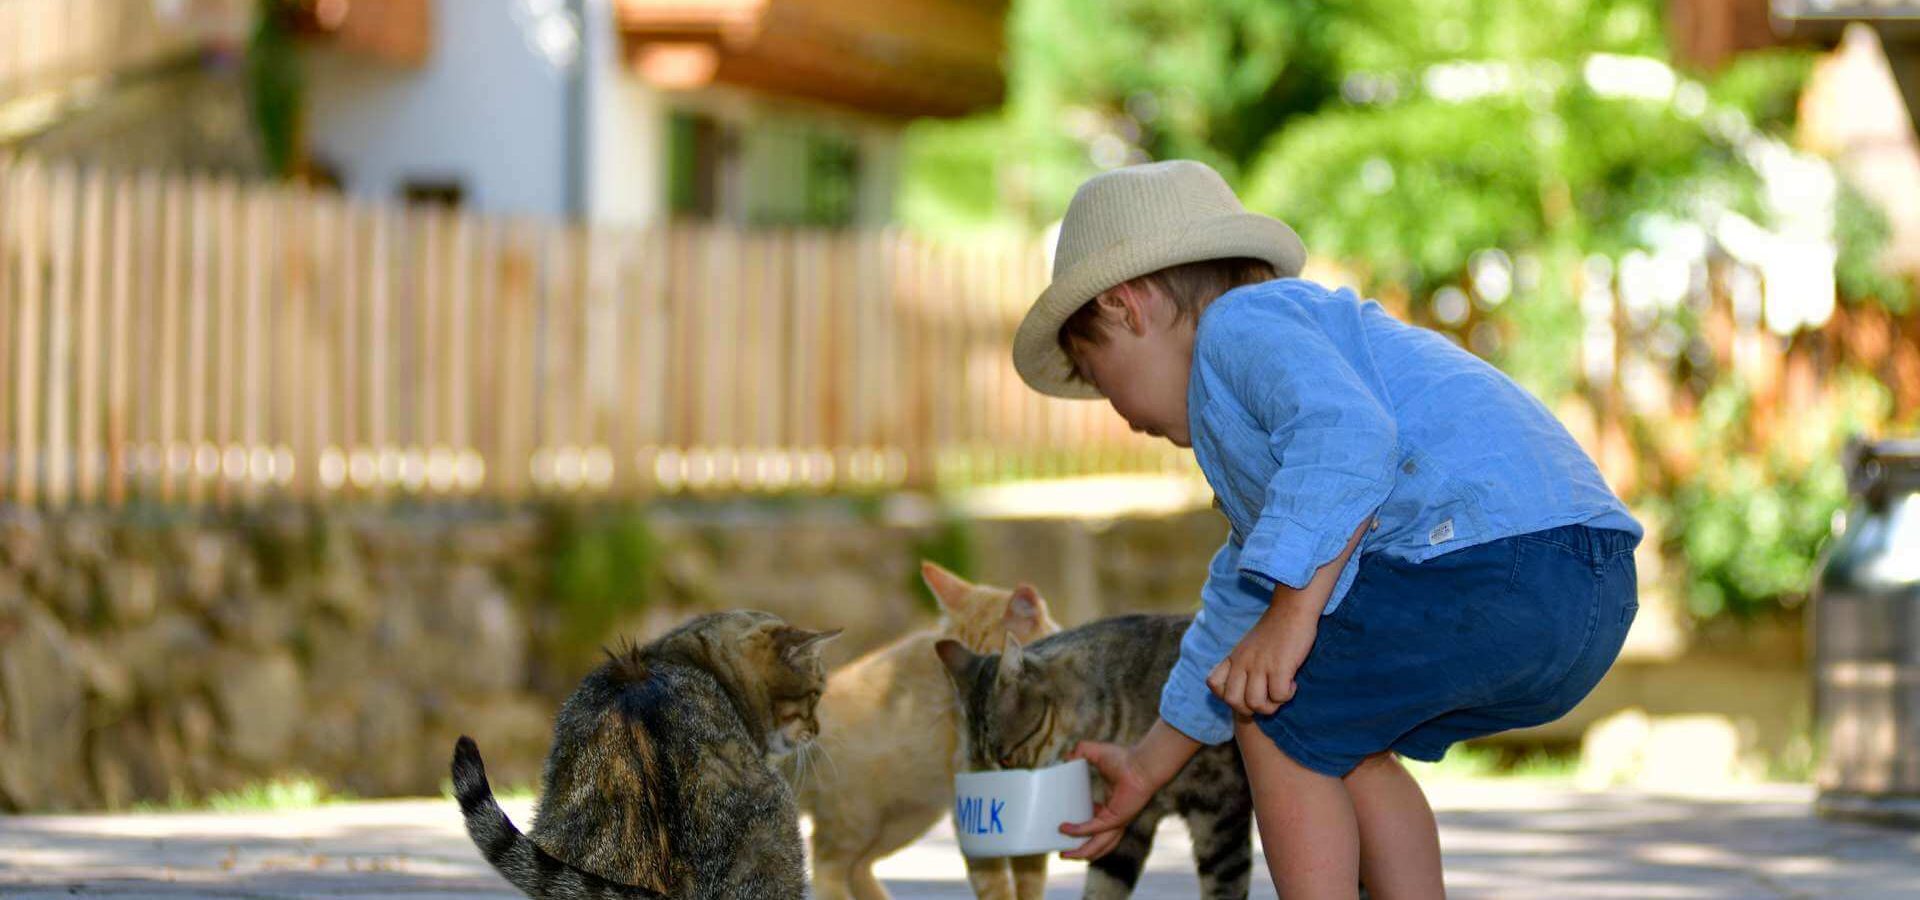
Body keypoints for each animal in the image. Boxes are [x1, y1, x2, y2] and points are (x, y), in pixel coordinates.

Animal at [794, 560, 1067, 898]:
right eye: (955, 674)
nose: (966, 705)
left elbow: (1030, 877)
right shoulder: (973, 810)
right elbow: (995, 884)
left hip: (906, 819)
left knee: (857, 865)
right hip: (854, 817)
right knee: (826, 864)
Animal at [933, 614, 1259, 894]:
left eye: (1005, 760)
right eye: (978, 767)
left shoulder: (1221, 812)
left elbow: (1223, 886)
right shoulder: (1131, 823)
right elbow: (1101, 888)